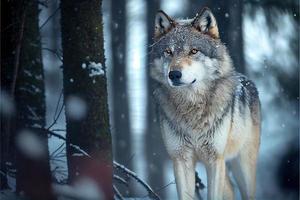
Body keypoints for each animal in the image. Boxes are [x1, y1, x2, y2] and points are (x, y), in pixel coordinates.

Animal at [150, 7, 260, 199]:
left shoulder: (215, 159)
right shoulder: (181, 159)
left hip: (242, 167)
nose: (174, 74)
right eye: (168, 52)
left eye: (194, 51)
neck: (191, 106)